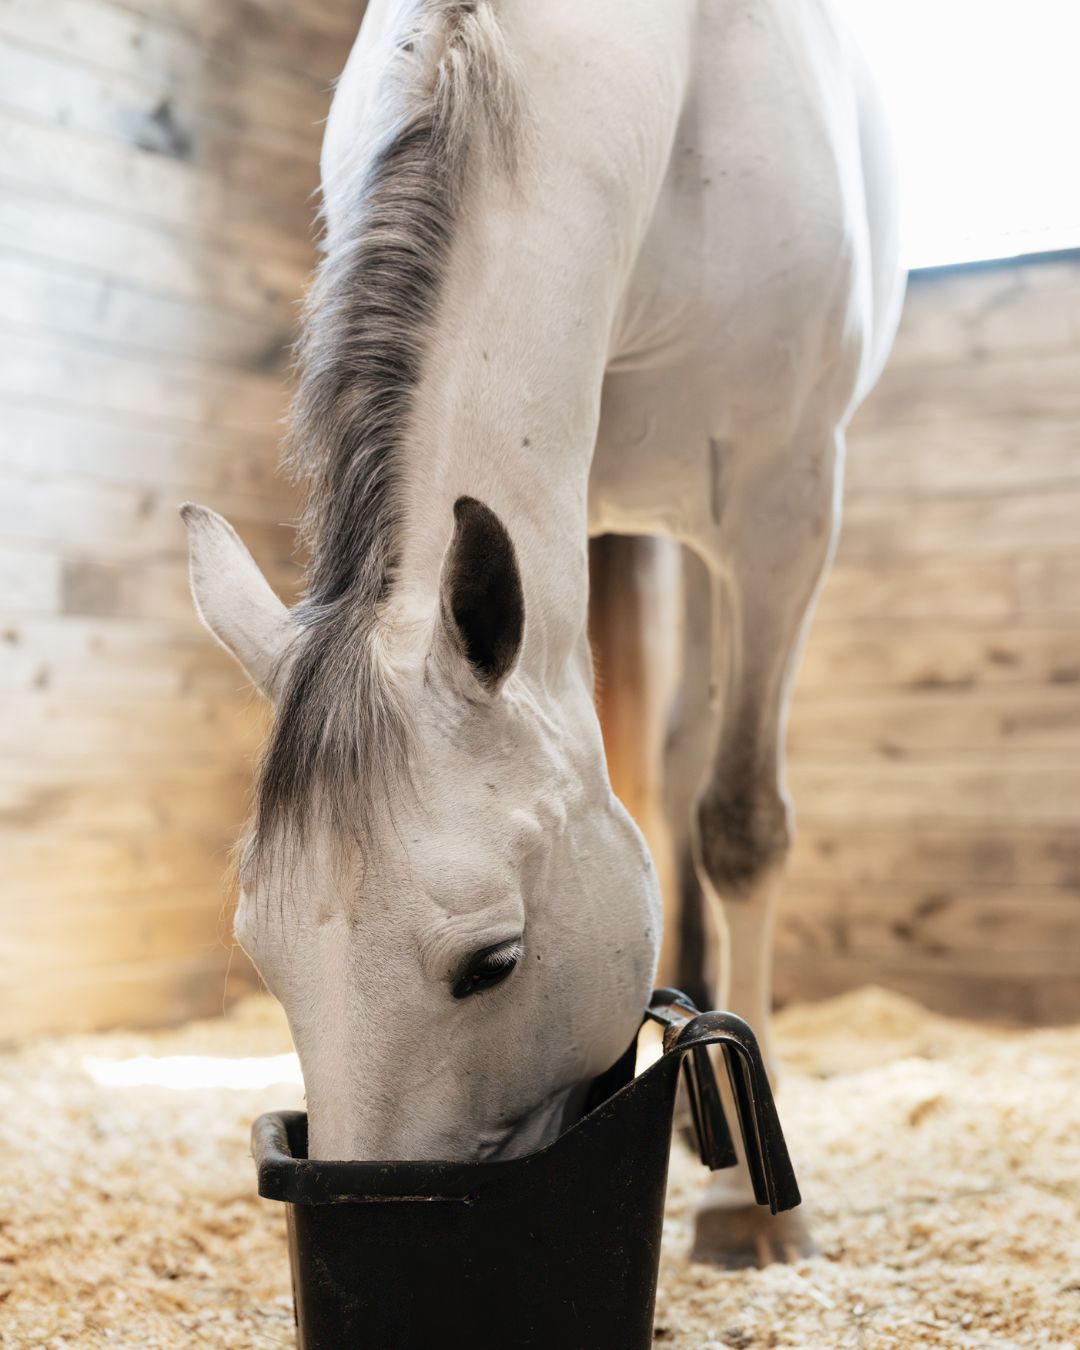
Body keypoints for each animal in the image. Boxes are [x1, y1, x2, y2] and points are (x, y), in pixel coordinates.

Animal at [183, 0, 902, 1266]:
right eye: (266, 957)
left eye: (493, 965)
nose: (364, 1215)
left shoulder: (784, 511)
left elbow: (741, 826)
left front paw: (747, 1210)